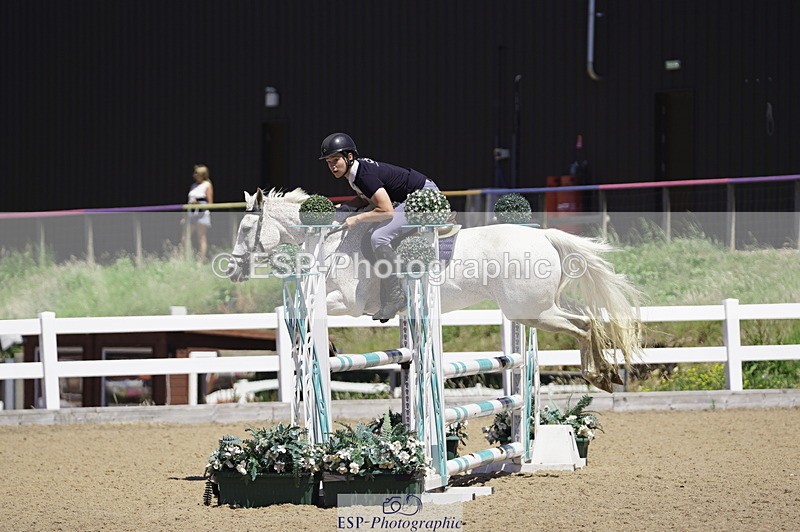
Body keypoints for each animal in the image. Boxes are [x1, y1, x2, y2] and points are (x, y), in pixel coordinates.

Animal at [228, 187, 642, 392]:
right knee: (587, 322)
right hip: (539, 309)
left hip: (529, 311)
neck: (329, 241)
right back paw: (604, 374)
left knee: (584, 327)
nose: (232, 269)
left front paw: (315, 345)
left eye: (246, 229)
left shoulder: (347, 302)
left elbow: (314, 310)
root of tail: (544, 236)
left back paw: (599, 375)